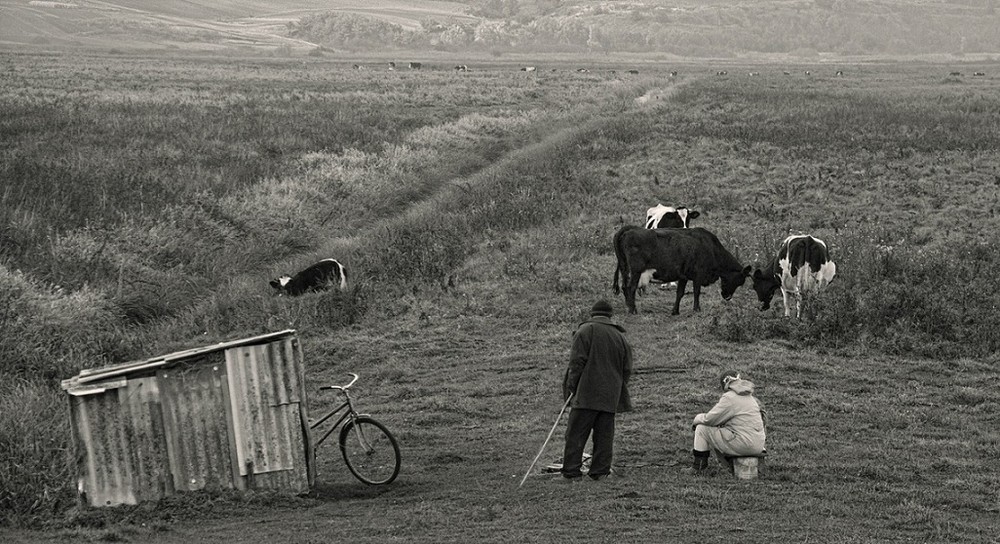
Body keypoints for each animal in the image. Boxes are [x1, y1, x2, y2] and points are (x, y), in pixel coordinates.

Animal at [608, 227, 752, 316]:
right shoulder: (698, 275)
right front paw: (697, 309)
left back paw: (628, 307)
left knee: (624, 287)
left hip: (624, 268)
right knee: (630, 288)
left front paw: (675, 311)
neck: (711, 248)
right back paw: (633, 310)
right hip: (636, 271)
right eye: (739, 281)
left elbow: (680, 293)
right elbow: (696, 292)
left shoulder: (683, 276)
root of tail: (630, 228)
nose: (727, 297)